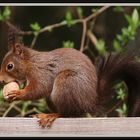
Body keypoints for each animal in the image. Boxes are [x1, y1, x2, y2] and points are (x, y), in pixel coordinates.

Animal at [0, 27, 140, 128]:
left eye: (10, 66)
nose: (1, 80)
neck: (30, 63)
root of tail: (90, 102)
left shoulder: (41, 72)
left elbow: (39, 88)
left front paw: (18, 93)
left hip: (66, 82)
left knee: (68, 114)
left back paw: (51, 115)